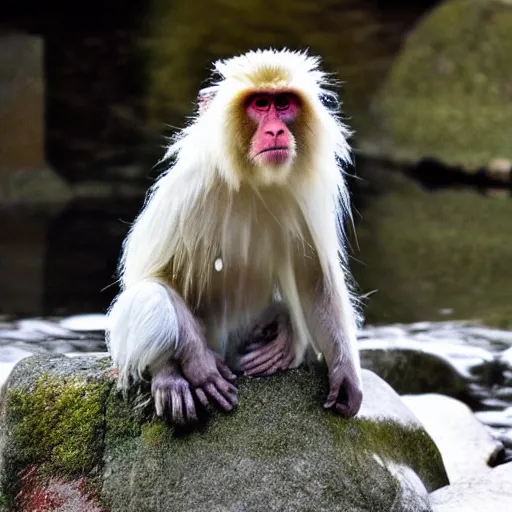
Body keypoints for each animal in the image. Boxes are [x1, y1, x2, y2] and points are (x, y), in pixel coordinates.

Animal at [106, 48, 364, 426]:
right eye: (260, 104)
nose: (276, 130)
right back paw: (169, 374)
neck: (254, 176)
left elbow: (315, 279)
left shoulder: (308, 187)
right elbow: (148, 275)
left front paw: (345, 373)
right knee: (148, 295)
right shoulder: (191, 184)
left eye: (282, 103)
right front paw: (196, 363)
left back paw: (282, 330)